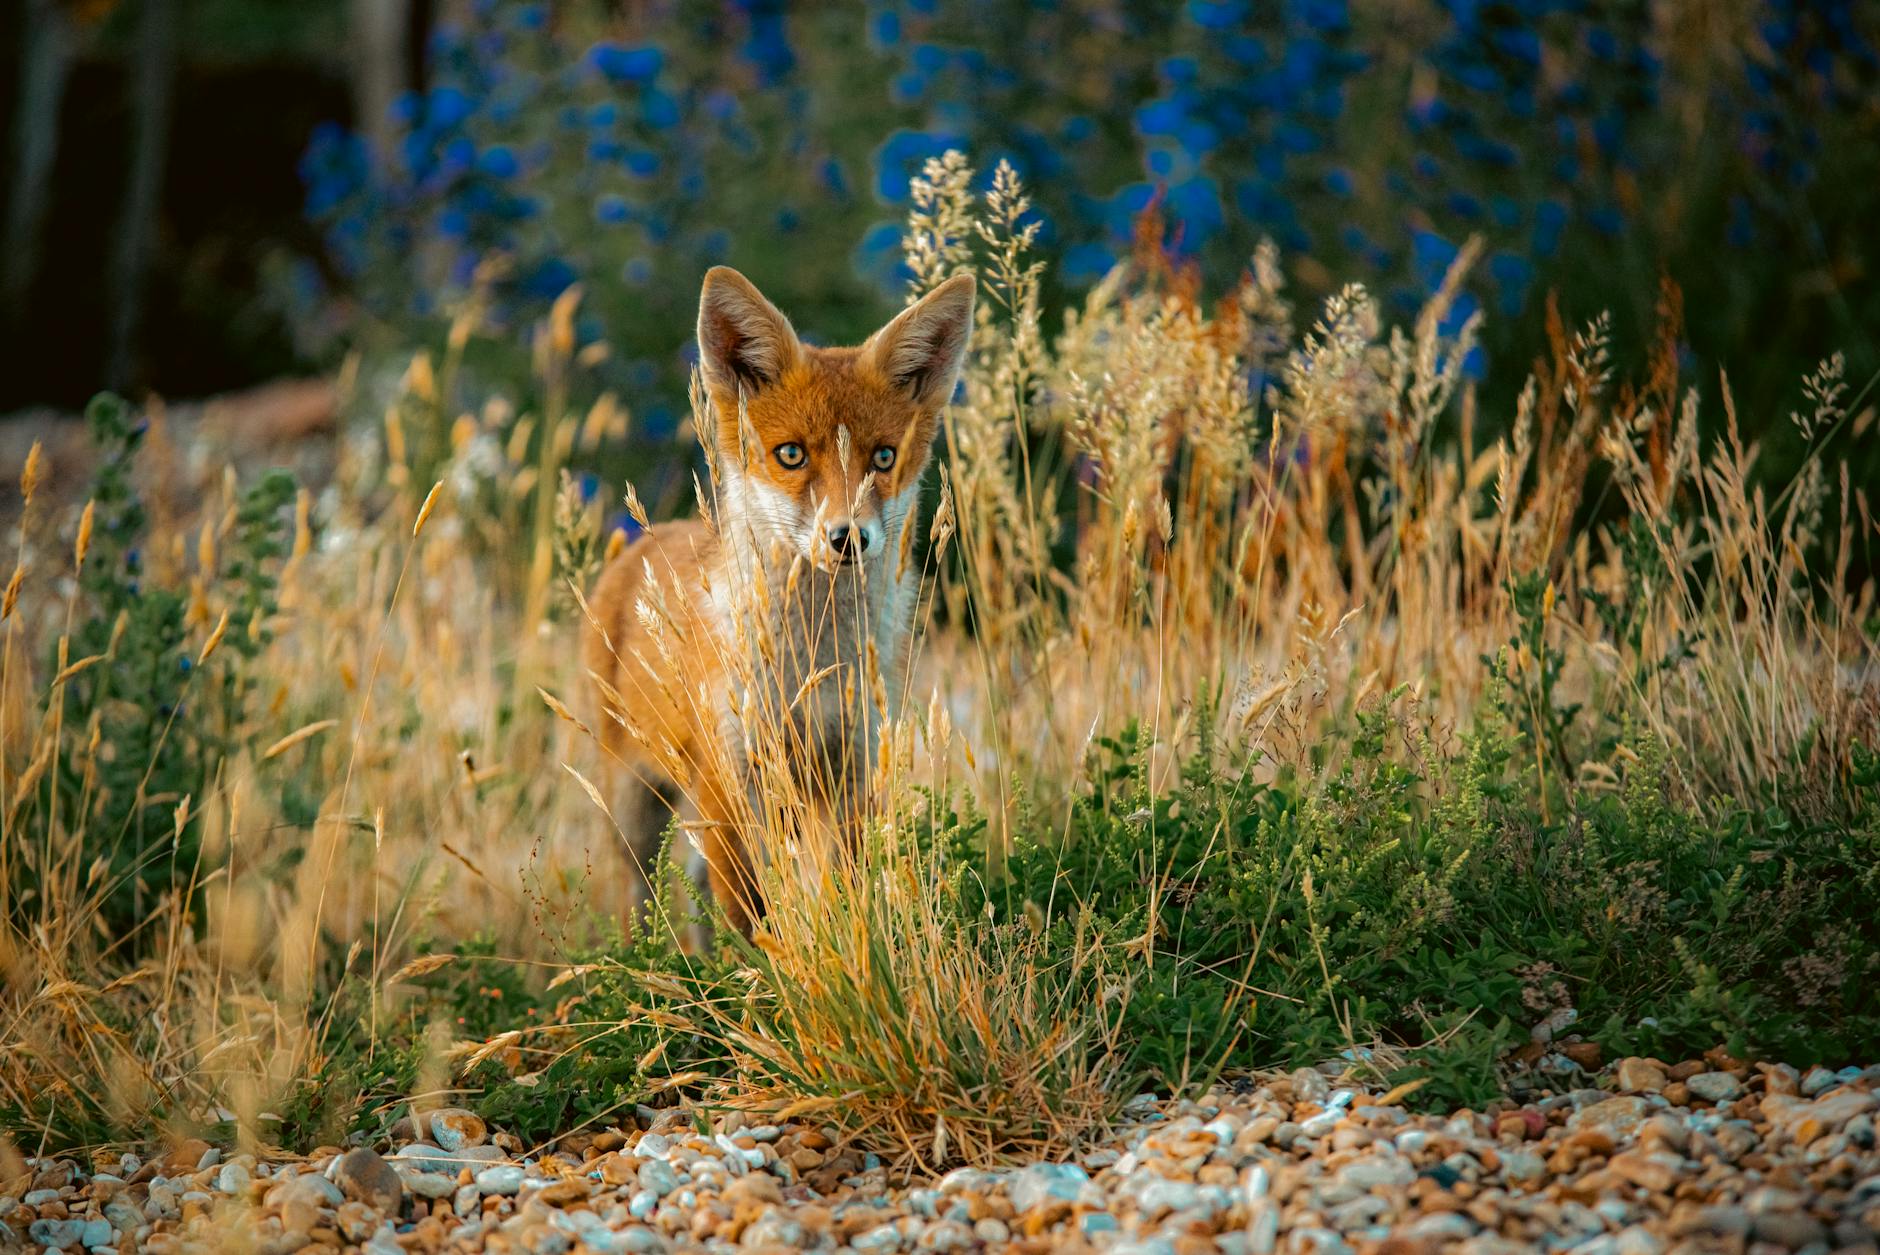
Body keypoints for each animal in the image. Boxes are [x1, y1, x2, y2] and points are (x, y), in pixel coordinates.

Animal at [581, 265, 976, 935]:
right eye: (791, 454)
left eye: (884, 457)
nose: (847, 537)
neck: (809, 665)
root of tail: (638, 548)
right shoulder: (729, 777)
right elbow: (750, 917)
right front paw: (757, 966)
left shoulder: (852, 769)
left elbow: (844, 893)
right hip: (636, 802)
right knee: (642, 894)